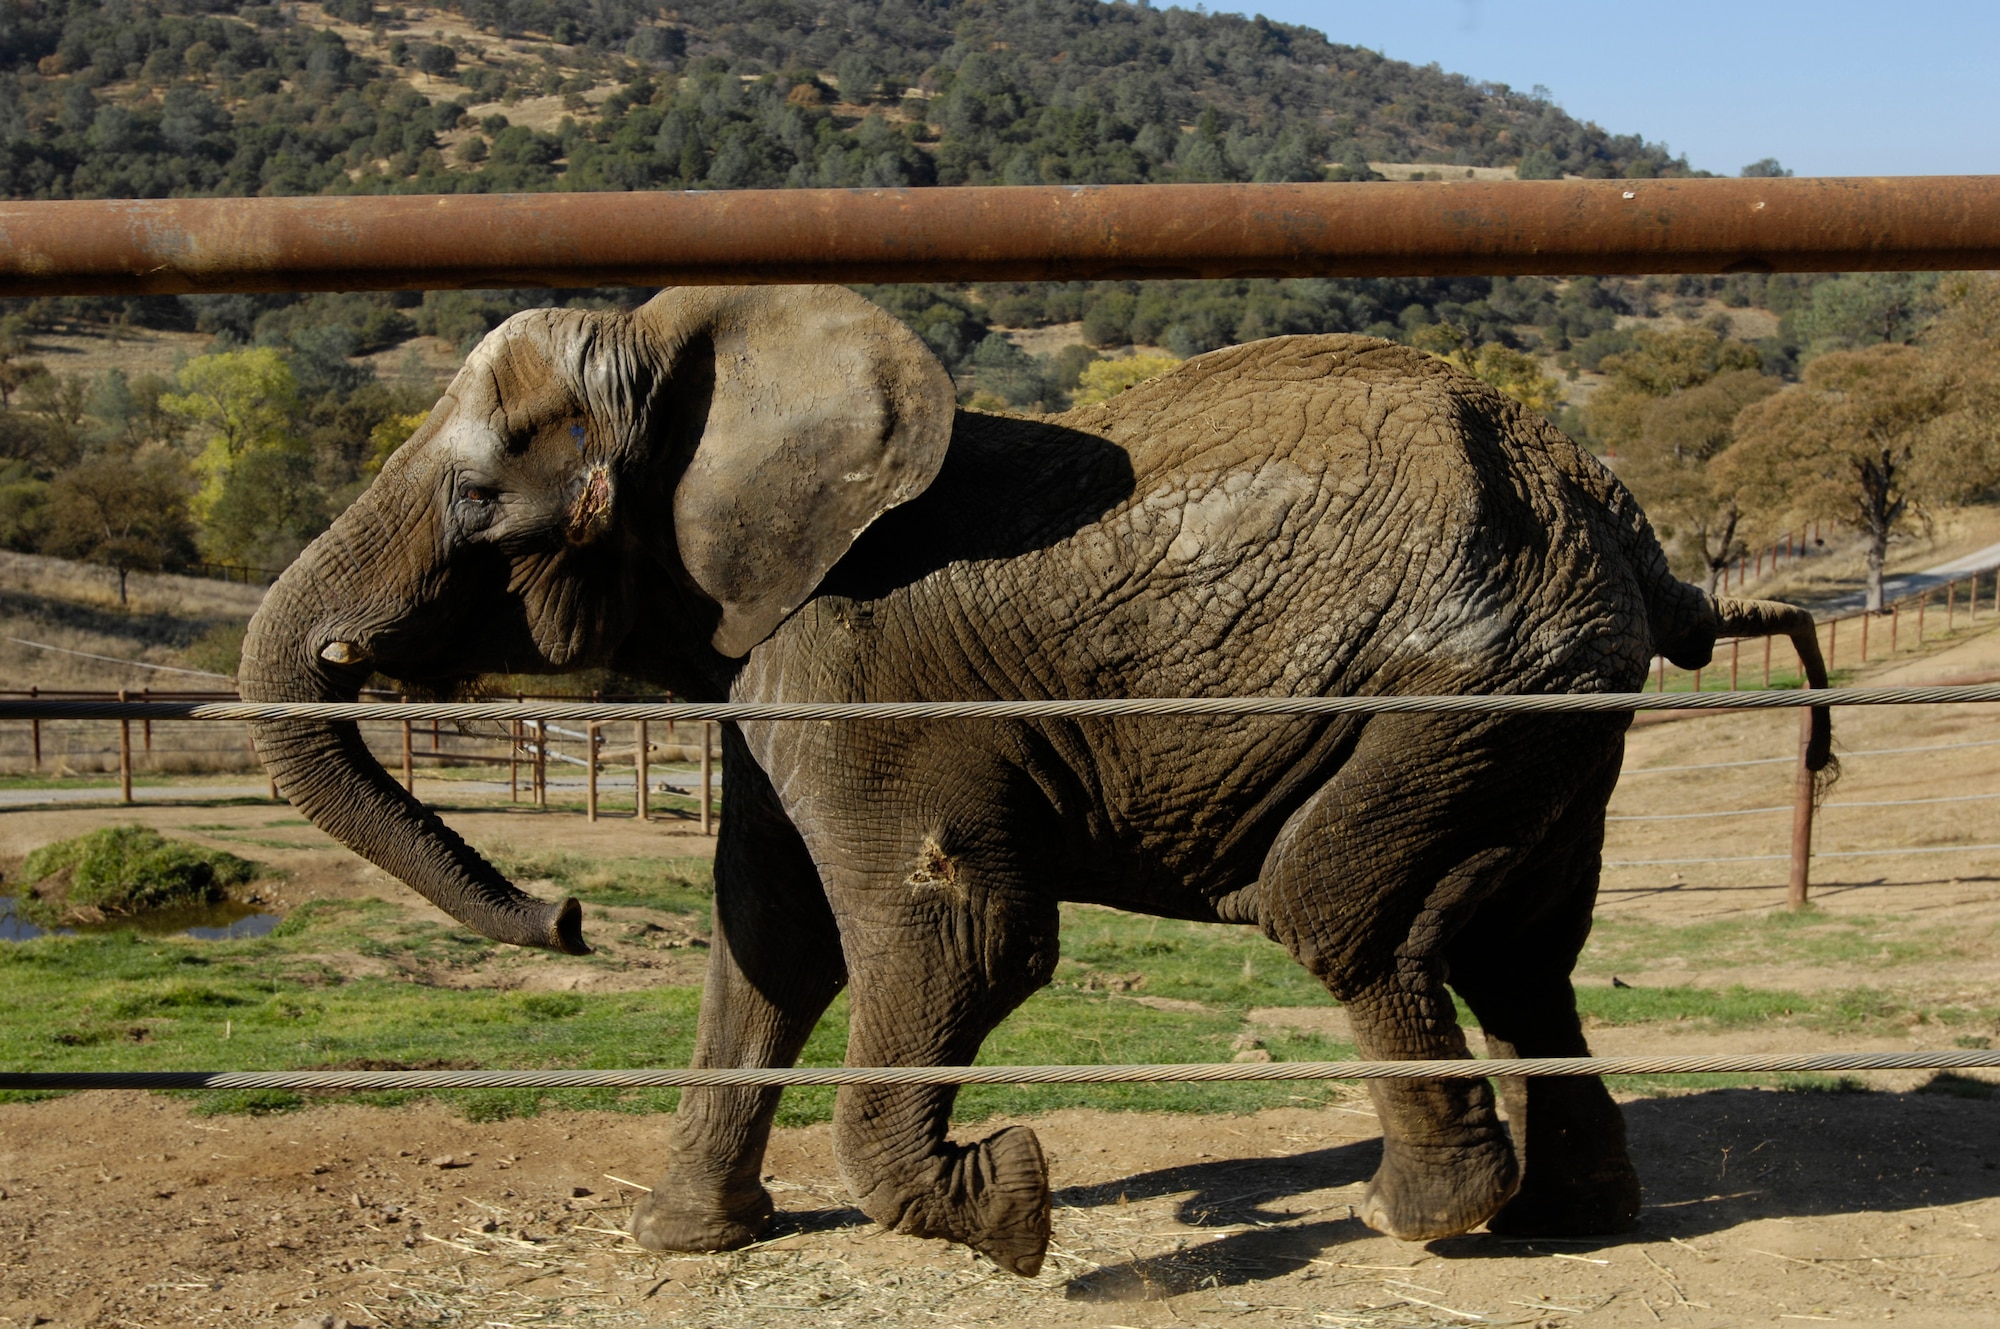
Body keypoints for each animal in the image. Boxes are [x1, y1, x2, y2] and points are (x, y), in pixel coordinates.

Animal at [238, 282, 1832, 1280]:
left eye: (477, 500)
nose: (564, 917)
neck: (716, 366)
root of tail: (1626, 525)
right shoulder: (771, 660)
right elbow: (768, 933)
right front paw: (688, 1242)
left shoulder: (854, 660)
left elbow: (953, 932)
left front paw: (1012, 1207)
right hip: (1547, 702)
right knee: (1520, 949)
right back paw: (1573, 1219)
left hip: (1464, 688)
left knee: (1342, 912)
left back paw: (1422, 1217)